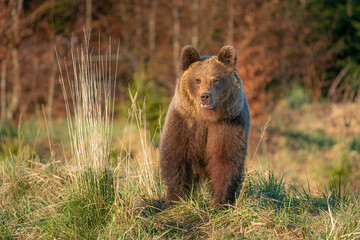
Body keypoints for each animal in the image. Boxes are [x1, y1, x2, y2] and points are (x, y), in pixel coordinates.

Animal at [160, 45, 250, 206]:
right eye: (198, 79)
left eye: (216, 80)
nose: (205, 96)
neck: (207, 118)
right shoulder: (184, 123)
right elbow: (176, 157)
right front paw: (178, 200)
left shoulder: (228, 125)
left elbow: (225, 161)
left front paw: (220, 202)